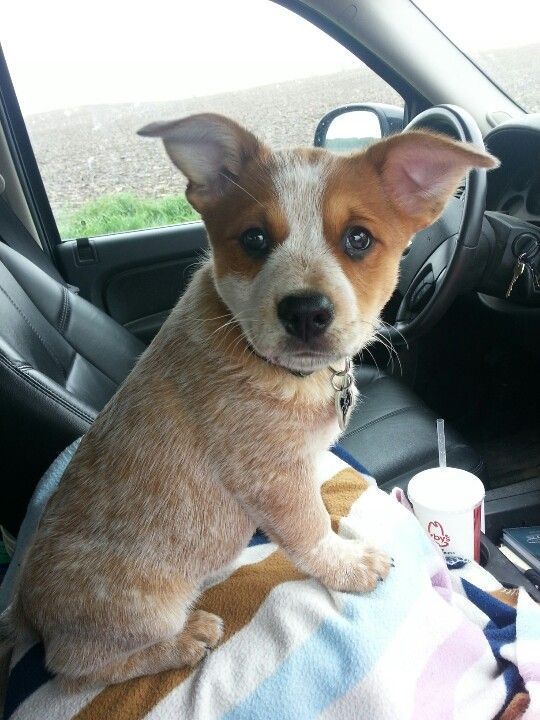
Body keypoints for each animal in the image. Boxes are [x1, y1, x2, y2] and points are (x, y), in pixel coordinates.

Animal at [1, 115, 498, 684]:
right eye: (255, 238)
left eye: (358, 238)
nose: (305, 311)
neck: (275, 366)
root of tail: (25, 607)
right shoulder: (271, 476)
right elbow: (310, 531)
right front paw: (348, 565)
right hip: (138, 615)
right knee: (75, 664)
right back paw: (186, 638)